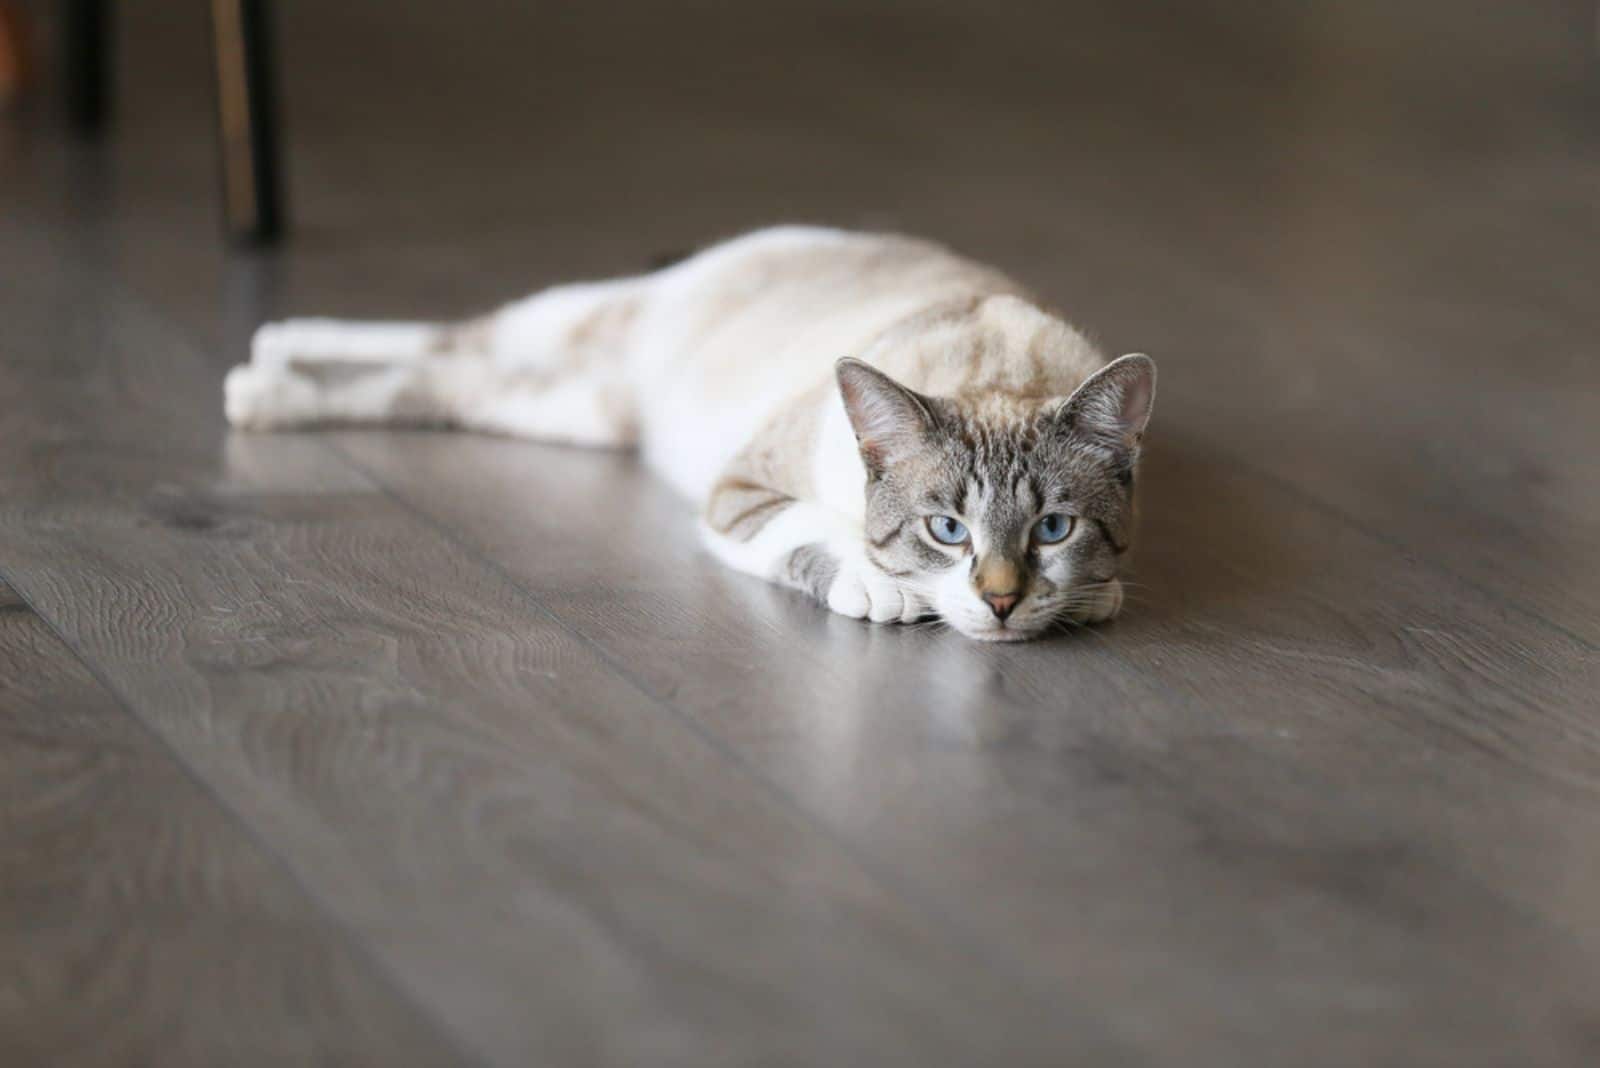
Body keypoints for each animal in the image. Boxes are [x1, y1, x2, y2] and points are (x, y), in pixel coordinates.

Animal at [222, 225, 1152, 639]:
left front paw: (1084, 597)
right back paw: (263, 360)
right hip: (573, 327)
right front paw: (882, 588)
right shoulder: (735, 494)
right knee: (449, 336)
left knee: (434, 377)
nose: (999, 601)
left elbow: (1100, 590)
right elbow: (819, 532)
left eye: (1053, 529)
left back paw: (269, 383)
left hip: (577, 414)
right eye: (947, 530)